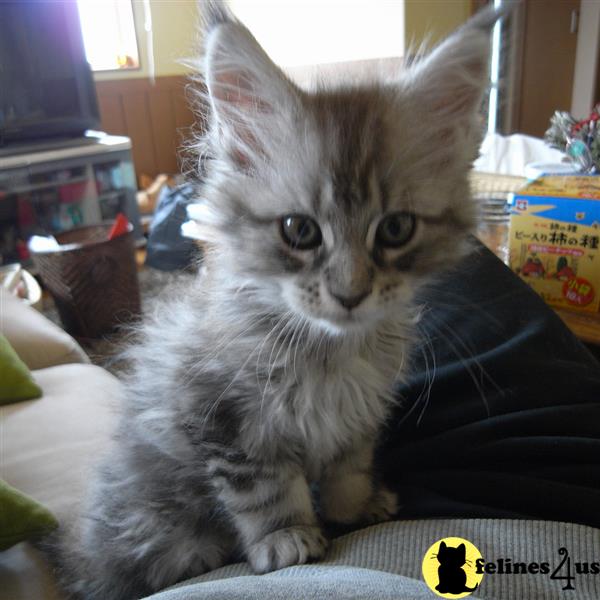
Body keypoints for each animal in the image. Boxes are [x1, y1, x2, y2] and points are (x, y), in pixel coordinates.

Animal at [57, 2, 506, 596]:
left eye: (396, 230)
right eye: (300, 231)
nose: (349, 293)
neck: (330, 351)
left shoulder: (359, 415)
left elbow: (347, 469)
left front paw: (355, 507)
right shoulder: (225, 420)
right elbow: (264, 488)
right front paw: (286, 536)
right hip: (148, 514)